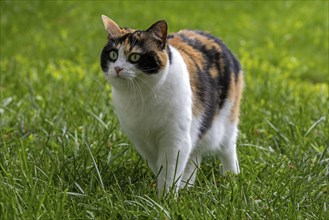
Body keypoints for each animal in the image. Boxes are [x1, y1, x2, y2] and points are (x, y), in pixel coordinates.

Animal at [100, 14, 243, 195]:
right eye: (113, 54)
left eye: (134, 57)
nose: (117, 68)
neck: (142, 97)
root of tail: (215, 38)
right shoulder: (141, 140)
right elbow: (159, 168)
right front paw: (168, 192)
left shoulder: (176, 138)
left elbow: (170, 170)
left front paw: (166, 198)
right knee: (194, 157)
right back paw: (187, 187)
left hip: (226, 121)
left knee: (228, 148)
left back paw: (232, 178)